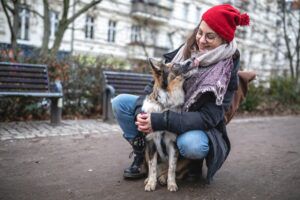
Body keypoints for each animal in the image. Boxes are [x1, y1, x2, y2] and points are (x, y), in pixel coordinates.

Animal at [141, 58, 188, 192]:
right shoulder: (151, 142)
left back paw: (163, 178)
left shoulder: (173, 143)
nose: (191, 61)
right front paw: (151, 183)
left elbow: (172, 167)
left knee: (170, 170)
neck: (164, 106)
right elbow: (152, 167)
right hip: (145, 151)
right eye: (175, 65)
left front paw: (171, 184)